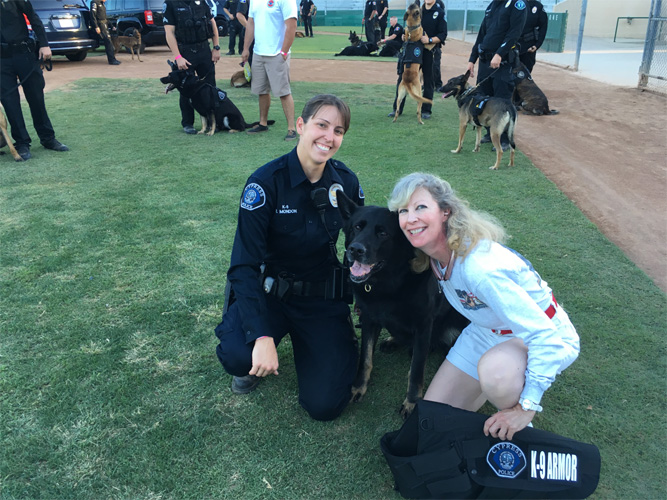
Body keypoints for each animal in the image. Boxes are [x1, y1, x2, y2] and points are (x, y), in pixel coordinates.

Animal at [336, 191, 468, 418]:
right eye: (356, 228)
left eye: (383, 233)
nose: (355, 249)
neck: (388, 283)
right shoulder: (369, 319)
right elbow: (365, 359)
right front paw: (358, 387)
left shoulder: (424, 325)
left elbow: (416, 370)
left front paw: (412, 402)